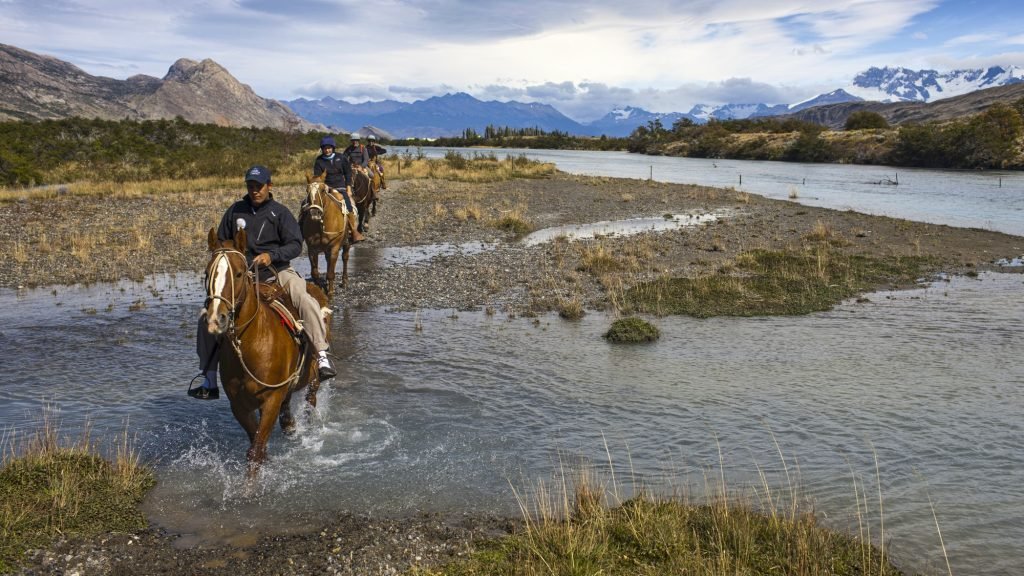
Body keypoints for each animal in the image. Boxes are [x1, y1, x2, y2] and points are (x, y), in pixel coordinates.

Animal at [199, 228, 327, 475]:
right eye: (207, 274)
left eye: (239, 274)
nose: (216, 319)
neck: (251, 344)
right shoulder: (239, 404)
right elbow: (256, 444)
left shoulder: (271, 399)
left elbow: (256, 450)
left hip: (313, 375)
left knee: (311, 397)